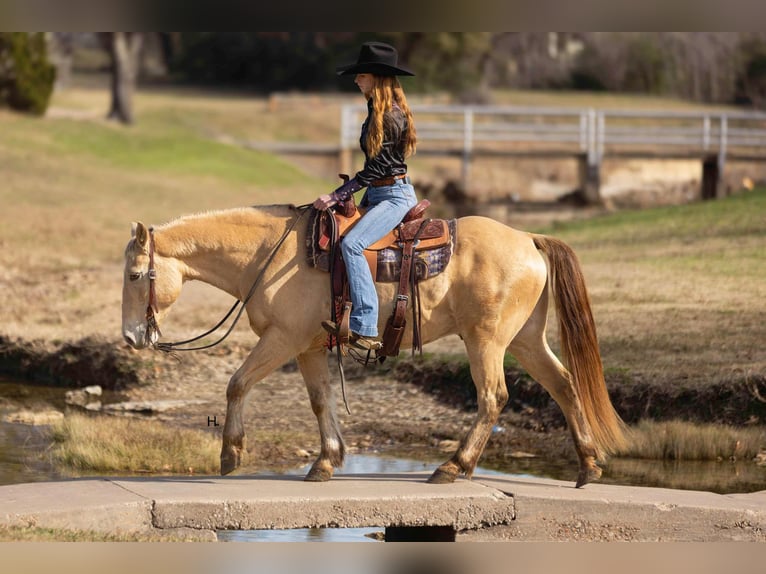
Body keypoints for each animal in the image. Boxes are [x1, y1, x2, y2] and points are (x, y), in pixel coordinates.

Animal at [121, 204, 627, 487]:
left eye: (134, 275)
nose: (130, 337)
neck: (270, 255)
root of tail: (529, 239)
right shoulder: (307, 346)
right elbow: (320, 400)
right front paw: (326, 461)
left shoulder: (282, 339)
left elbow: (237, 383)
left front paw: (230, 454)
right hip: (525, 340)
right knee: (564, 385)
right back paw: (587, 466)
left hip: (486, 340)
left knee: (493, 398)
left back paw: (453, 466)